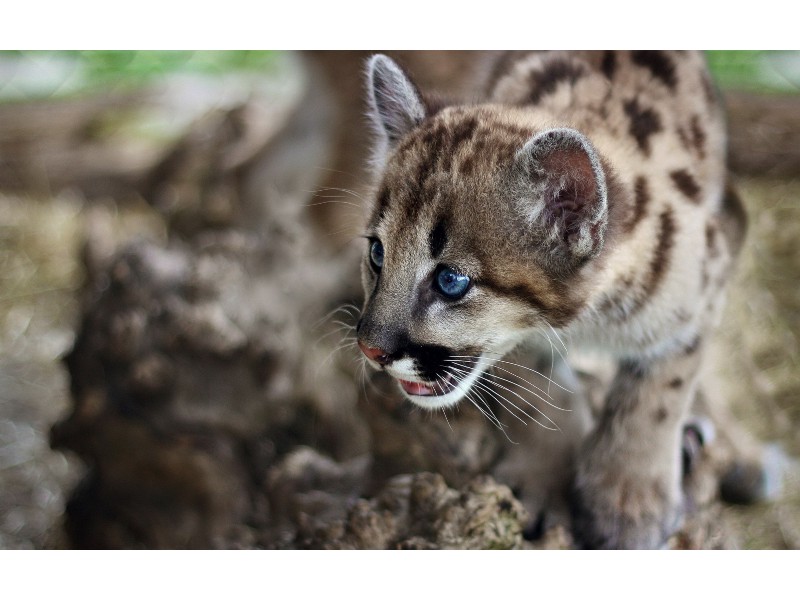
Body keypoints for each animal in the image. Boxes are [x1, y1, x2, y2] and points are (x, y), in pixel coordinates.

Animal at [354, 51, 748, 548]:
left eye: (450, 280)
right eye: (377, 253)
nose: (371, 349)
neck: (591, 316)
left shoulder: (709, 273)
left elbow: (658, 392)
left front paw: (629, 501)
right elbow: (539, 387)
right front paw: (545, 482)